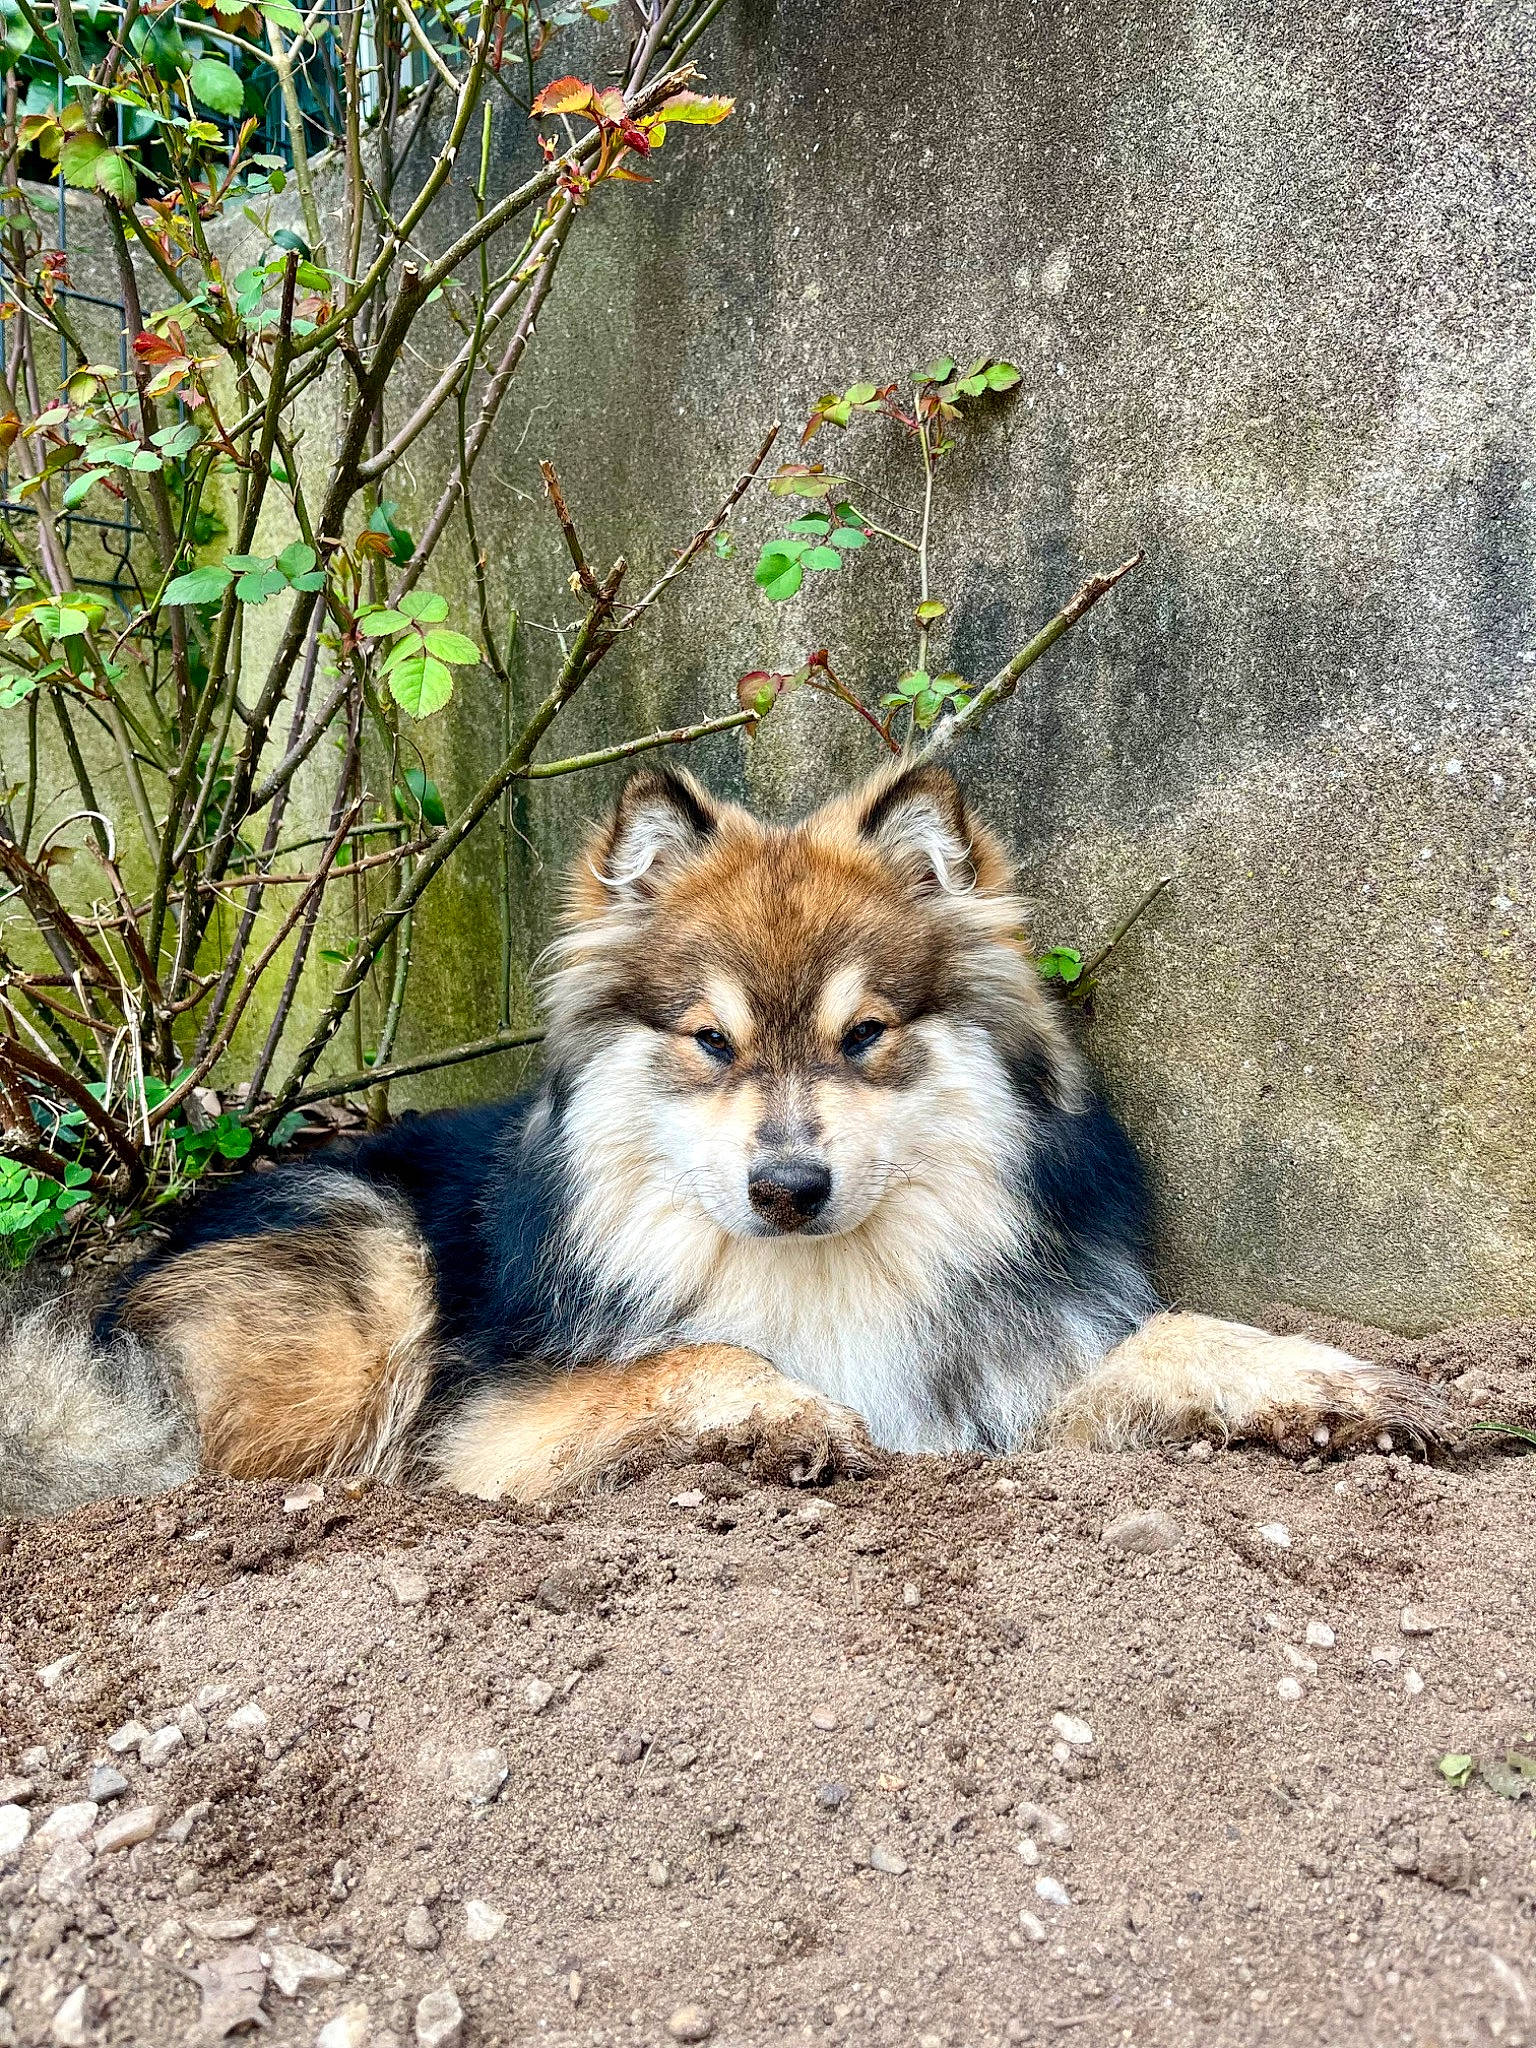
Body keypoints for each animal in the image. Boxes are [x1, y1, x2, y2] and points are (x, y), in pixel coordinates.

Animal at [0, 760, 1446, 1518]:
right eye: (710, 1040)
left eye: (865, 1036)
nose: (790, 1185)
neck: (822, 1277)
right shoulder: (492, 1428)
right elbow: (693, 1357)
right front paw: (780, 1412)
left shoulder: (999, 1392)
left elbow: (1176, 1339)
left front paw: (1325, 1386)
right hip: (365, 1293)